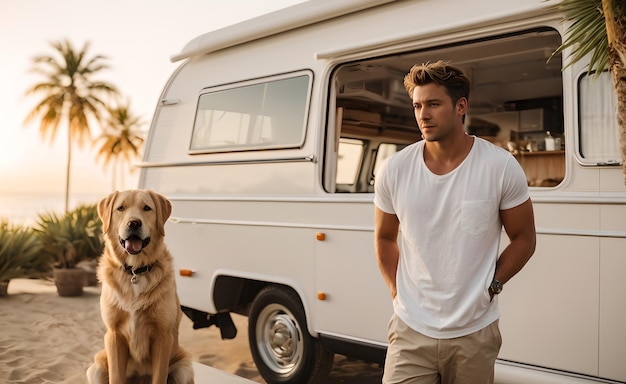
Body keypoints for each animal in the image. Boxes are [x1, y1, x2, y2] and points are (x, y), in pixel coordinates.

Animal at [86, 190, 193, 384]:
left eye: (147, 208)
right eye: (121, 208)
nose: (133, 223)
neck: (135, 271)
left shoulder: (163, 336)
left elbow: (159, 377)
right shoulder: (114, 335)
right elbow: (116, 377)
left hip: (183, 370)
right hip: (95, 369)